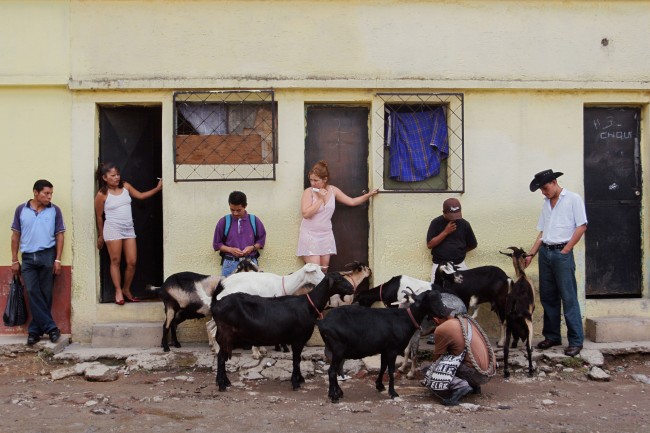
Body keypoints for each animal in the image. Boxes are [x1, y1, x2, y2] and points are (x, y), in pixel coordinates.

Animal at [211, 272, 354, 390]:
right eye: (339, 279)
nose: (352, 288)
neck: (308, 305)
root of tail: (216, 303)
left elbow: (298, 360)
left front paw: (300, 379)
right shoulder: (298, 338)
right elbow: (296, 360)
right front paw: (296, 383)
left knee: (220, 357)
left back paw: (224, 382)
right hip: (226, 334)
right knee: (221, 358)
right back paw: (222, 385)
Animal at [316, 286, 450, 402]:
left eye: (440, 298)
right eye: (431, 299)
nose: (446, 312)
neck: (405, 318)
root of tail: (322, 322)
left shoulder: (385, 349)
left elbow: (383, 367)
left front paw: (379, 385)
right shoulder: (392, 349)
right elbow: (391, 371)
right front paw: (393, 393)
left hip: (333, 350)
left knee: (335, 370)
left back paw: (337, 392)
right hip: (338, 349)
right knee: (332, 371)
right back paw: (333, 396)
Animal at [498, 246, 536, 378]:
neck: (522, 275)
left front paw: (515, 343)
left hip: (508, 325)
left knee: (505, 349)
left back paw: (506, 372)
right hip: (529, 324)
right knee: (528, 347)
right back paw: (531, 370)